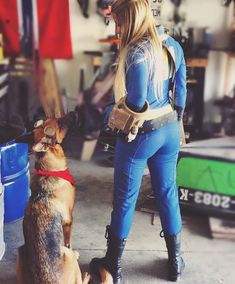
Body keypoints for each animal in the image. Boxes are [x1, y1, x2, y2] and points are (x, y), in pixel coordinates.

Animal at [14, 112, 90, 284]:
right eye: (59, 124)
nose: (75, 113)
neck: (48, 170)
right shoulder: (69, 220)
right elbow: (68, 241)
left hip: (20, 252)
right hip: (68, 257)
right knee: (77, 271)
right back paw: (84, 272)